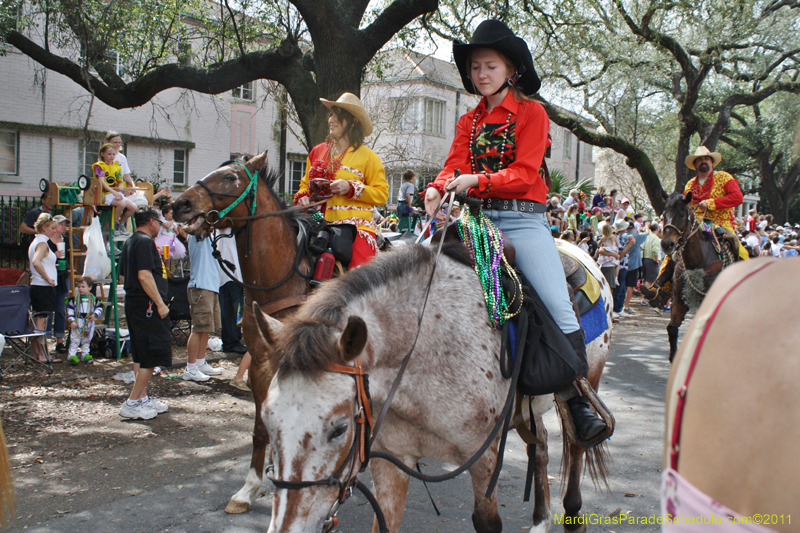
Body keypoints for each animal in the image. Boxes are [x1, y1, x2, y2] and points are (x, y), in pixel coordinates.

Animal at [256, 239, 612, 528]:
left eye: (339, 428)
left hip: (590, 378)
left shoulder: (485, 460)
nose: (287, 527)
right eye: (268, 420)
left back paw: (573, 511)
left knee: (577, 444)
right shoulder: (392, 460)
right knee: (540, 447)